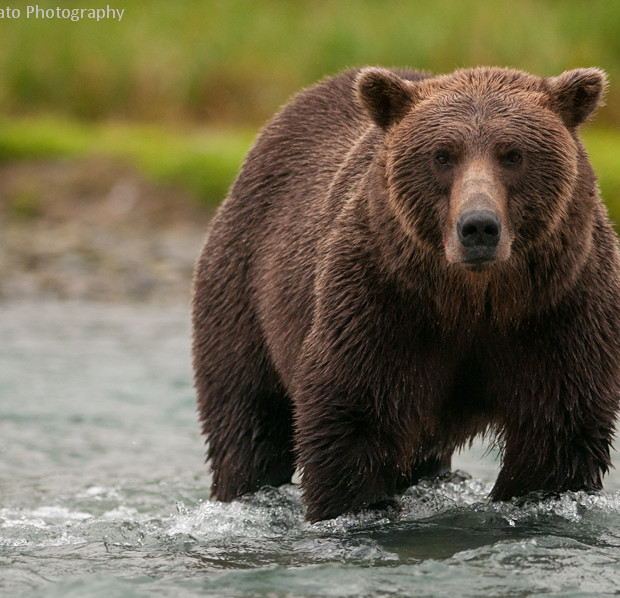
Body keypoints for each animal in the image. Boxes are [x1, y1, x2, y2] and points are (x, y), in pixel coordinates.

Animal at [193, 67, 620, 524]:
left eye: (513, 154)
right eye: (442, 155)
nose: (478, 227)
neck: (475, 301)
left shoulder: (561, 311)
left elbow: (557, 432)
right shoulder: (381, 303)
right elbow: (352, 416)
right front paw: (360, 506)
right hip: (244, 288)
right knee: (247, 418)